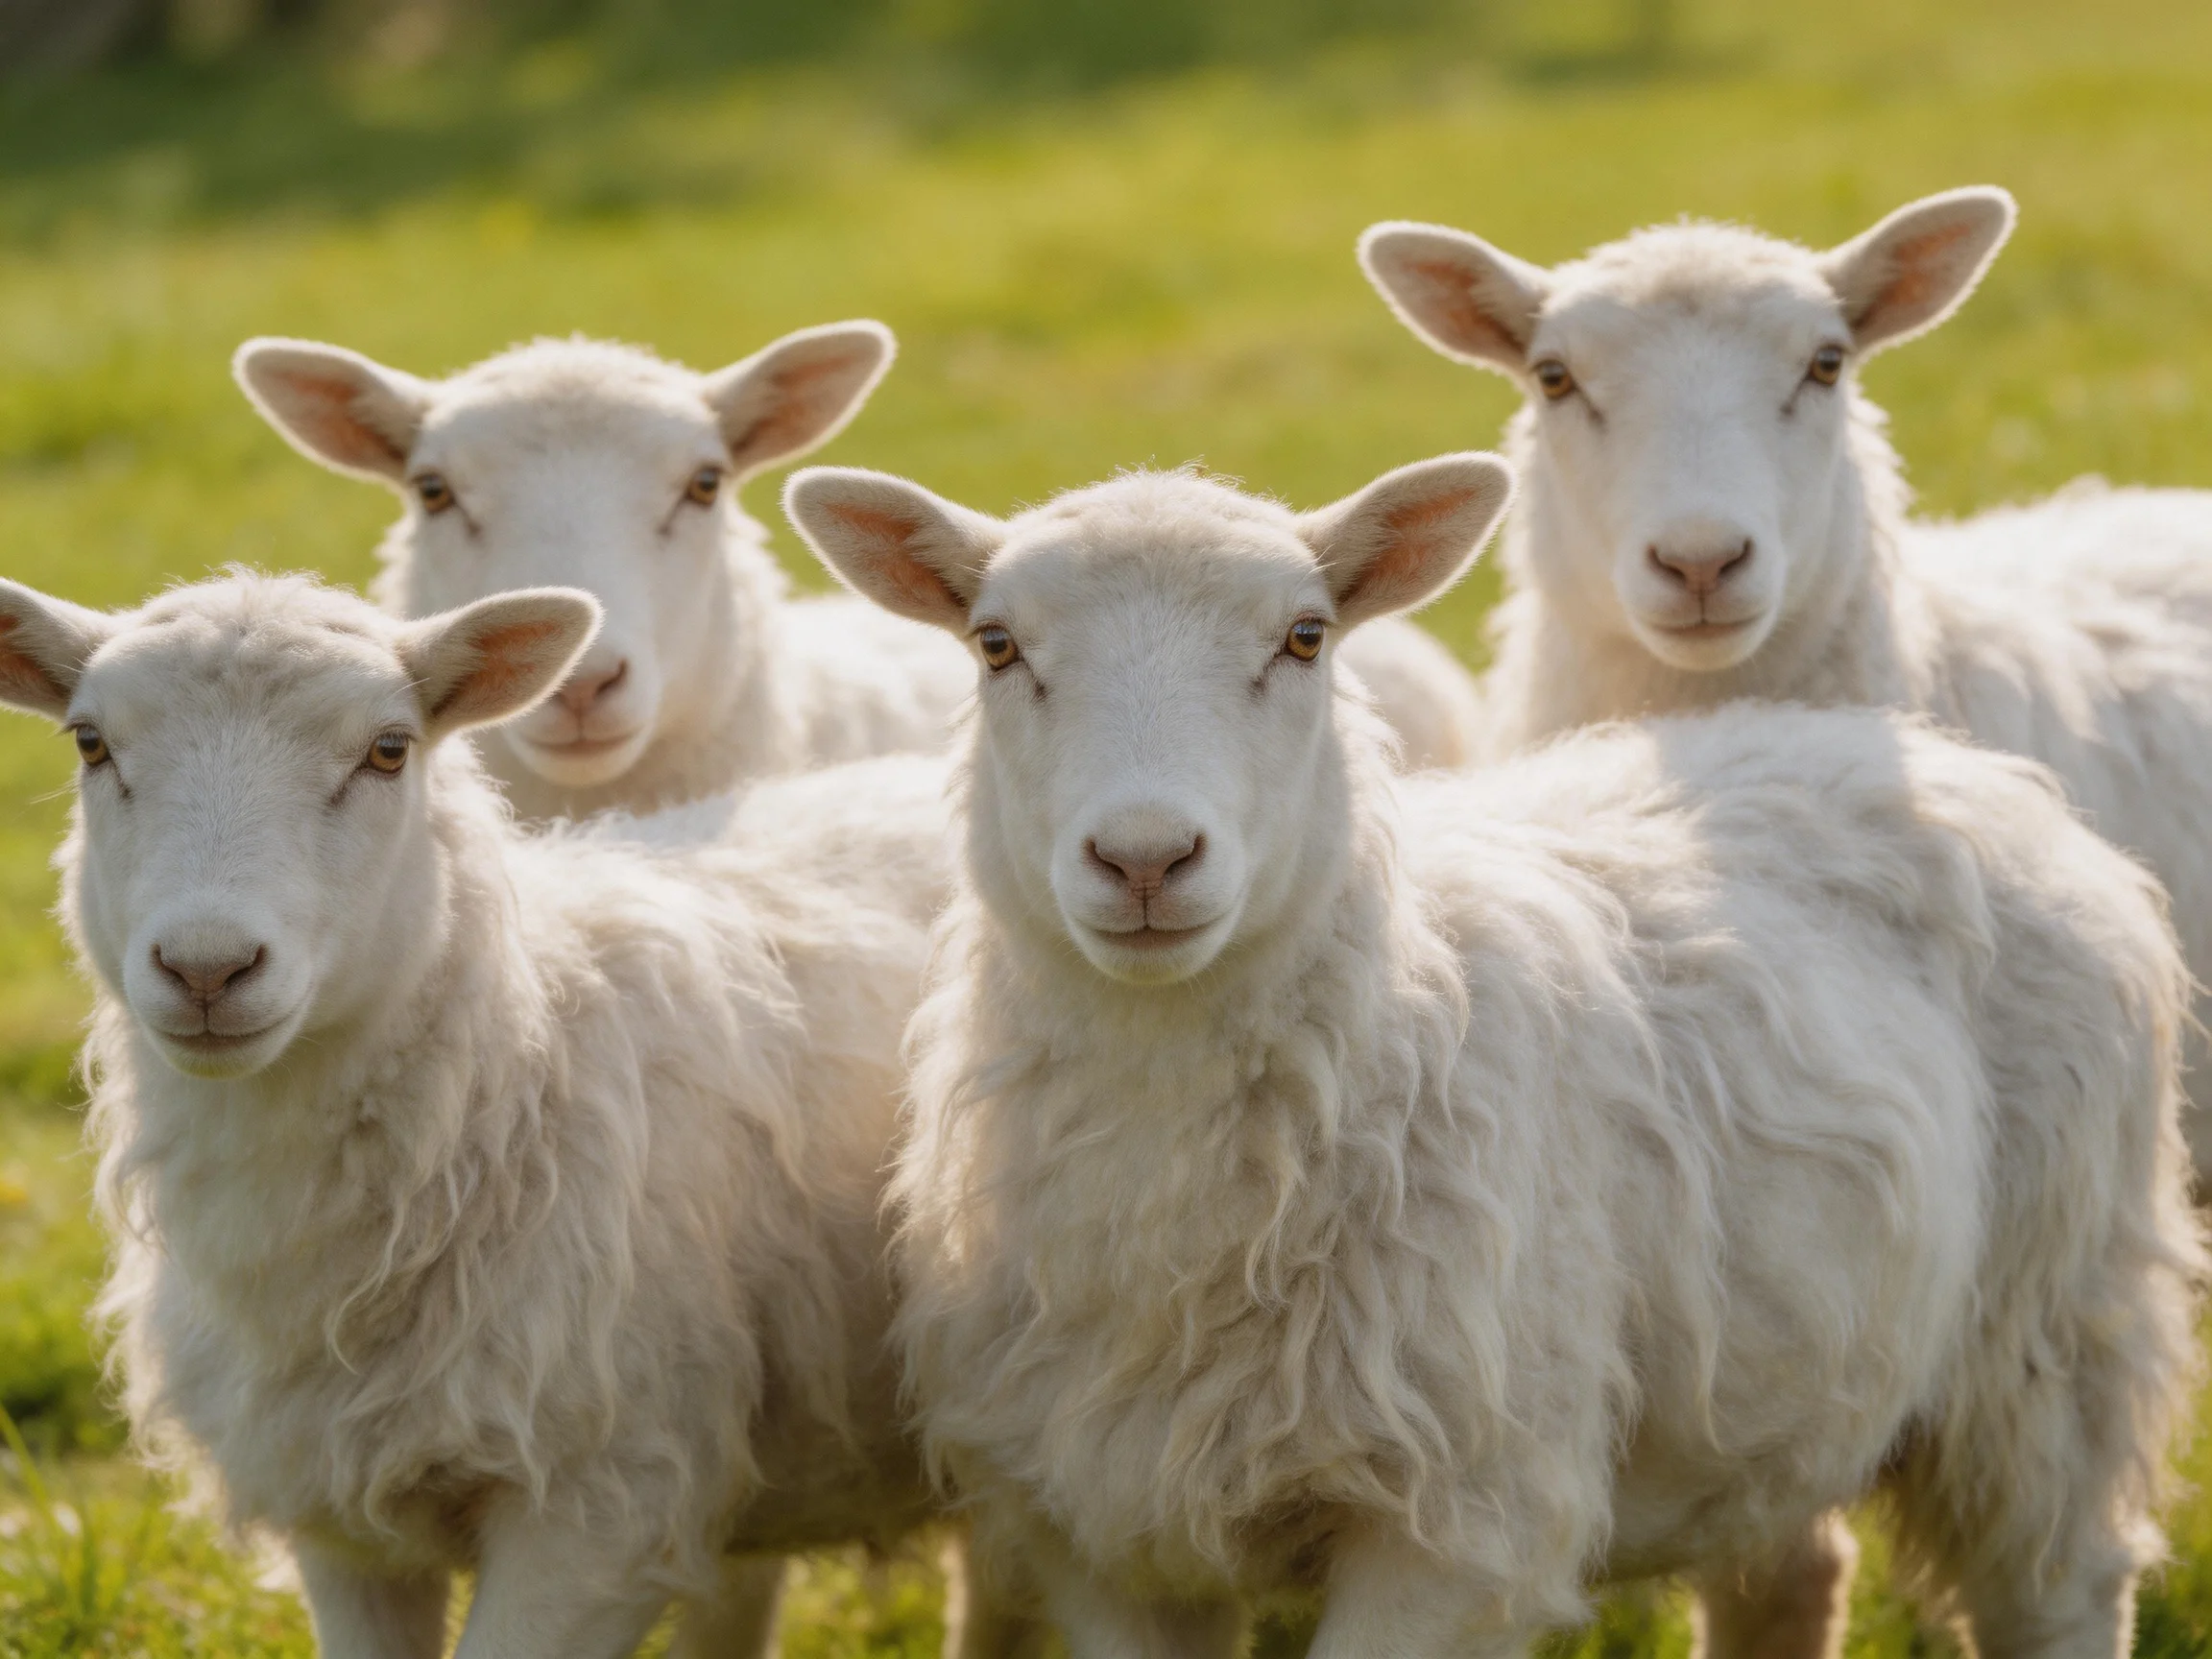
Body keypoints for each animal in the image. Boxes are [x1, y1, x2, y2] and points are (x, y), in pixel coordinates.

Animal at [785, 454, 2204, 1659]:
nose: (1145, 858)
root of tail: (1949, 764)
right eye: (996, 645)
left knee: (2060, 1588)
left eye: (1305, 638)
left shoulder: (1455, 1530)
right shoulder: (1109, 1535)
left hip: (2049, 1335)